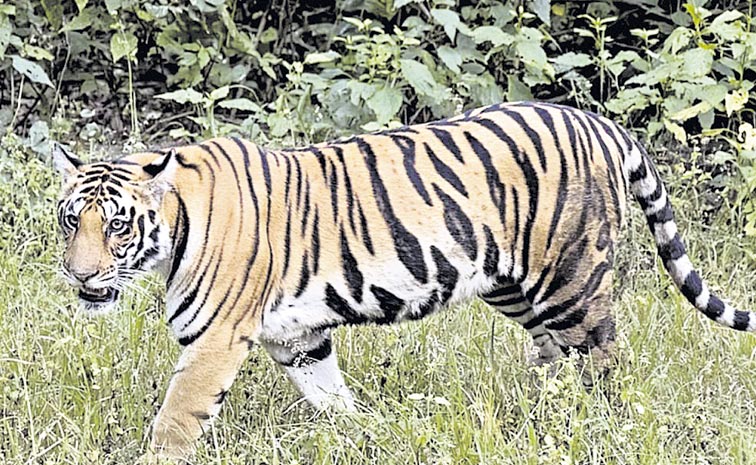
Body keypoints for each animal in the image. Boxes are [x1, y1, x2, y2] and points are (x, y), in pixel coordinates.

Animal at [52, 101, 755, 461]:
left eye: (116, 226)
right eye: (69, 220)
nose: (78, 274)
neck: (175, 229)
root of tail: (596, 119)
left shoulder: (215, 341)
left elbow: (176, 419)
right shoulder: (298, 338)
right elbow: (331, 397)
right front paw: (360, 437)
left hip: (570, 279)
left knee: (604, 360)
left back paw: (598, 429)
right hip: (513, 285)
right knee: (554, 358)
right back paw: (537, 416)